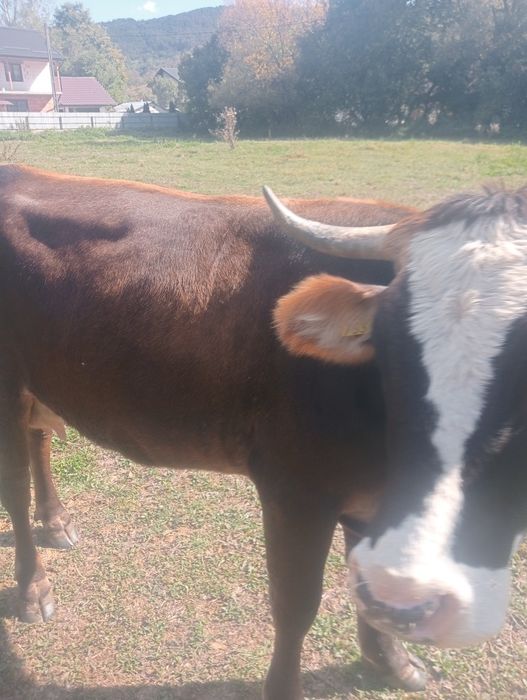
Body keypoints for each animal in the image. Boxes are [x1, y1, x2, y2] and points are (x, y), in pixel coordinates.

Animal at [0, 164, 421, 700]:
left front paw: (392, 661)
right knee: (13, 484)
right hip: (6, 380)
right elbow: (295, 607)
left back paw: (56, 522)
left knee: (39, 440)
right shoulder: (295, 488)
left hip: (41, 375)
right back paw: (33, 587)